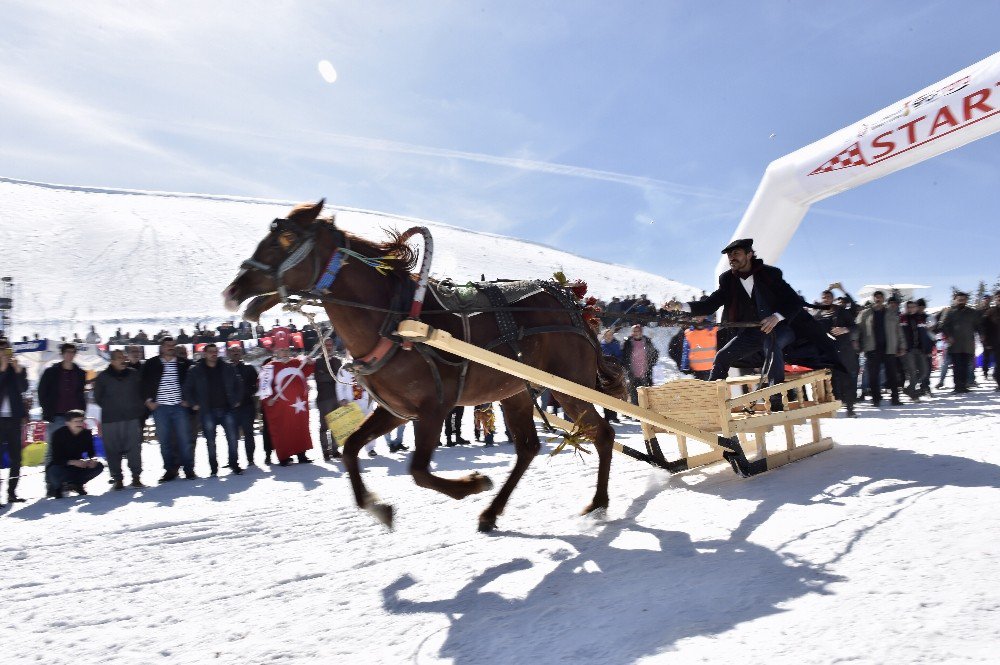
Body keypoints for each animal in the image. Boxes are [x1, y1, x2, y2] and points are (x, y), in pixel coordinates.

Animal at [225, 200, 624, 532]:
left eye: (287, 238)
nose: (233, 291)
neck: (394, 319)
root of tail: (574, 305)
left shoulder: (435, 408)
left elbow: (417, 470)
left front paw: (472, 484)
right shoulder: (396, 410)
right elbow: (351, 448)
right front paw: (377, 506)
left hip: (568, 385)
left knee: (602, 434)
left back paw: (599, 502)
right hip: (515, 391)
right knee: (528, 448)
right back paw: (492, 513)